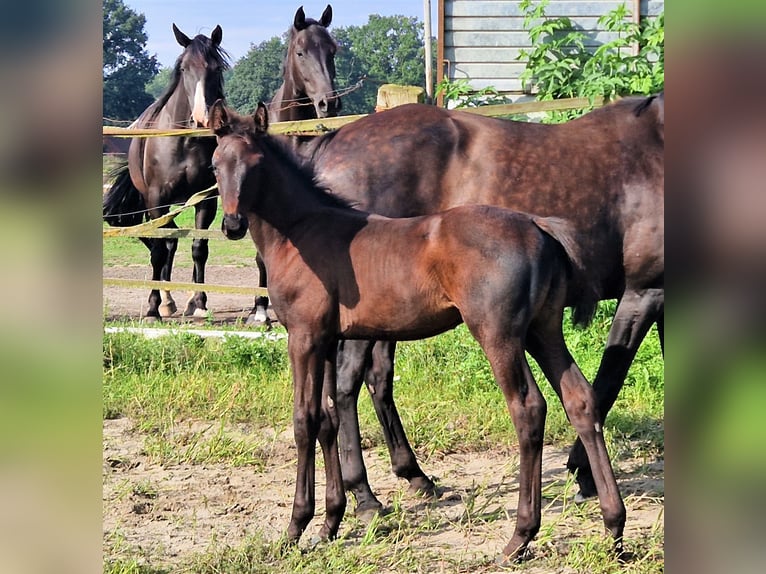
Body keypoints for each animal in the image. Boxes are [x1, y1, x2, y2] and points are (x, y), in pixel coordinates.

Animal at [105, 24, 231, 322]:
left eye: (216, 67)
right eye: (184, 68)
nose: (202, 118)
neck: (186, 142)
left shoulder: (205, 200)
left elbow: (199, 248)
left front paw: (199, 303)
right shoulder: (156, 198)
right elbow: (159, 251)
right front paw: (153, 309)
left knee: (172, 241)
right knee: (163, 243)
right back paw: (164, 301)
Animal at [208, 102, 624, 564]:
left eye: (256, 164)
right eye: (216, 165)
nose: (231, 223)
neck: (302, 232)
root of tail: (538, 226)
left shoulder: (303, 337)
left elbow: (305, 420)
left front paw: (296, 527)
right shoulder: (327, 340)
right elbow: (328, 418)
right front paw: (330, 523)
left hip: (499, 335)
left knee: (528, 409)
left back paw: (519, 537)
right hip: (543, 330)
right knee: (580, 400)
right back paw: (613, 528)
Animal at [282, 93, 664, 512]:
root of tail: (333, 142)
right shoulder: (645, 291)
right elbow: (610, 380)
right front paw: (583, 475)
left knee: (374, 379)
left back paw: (411, 475)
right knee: (348, 384)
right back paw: (364, 494)